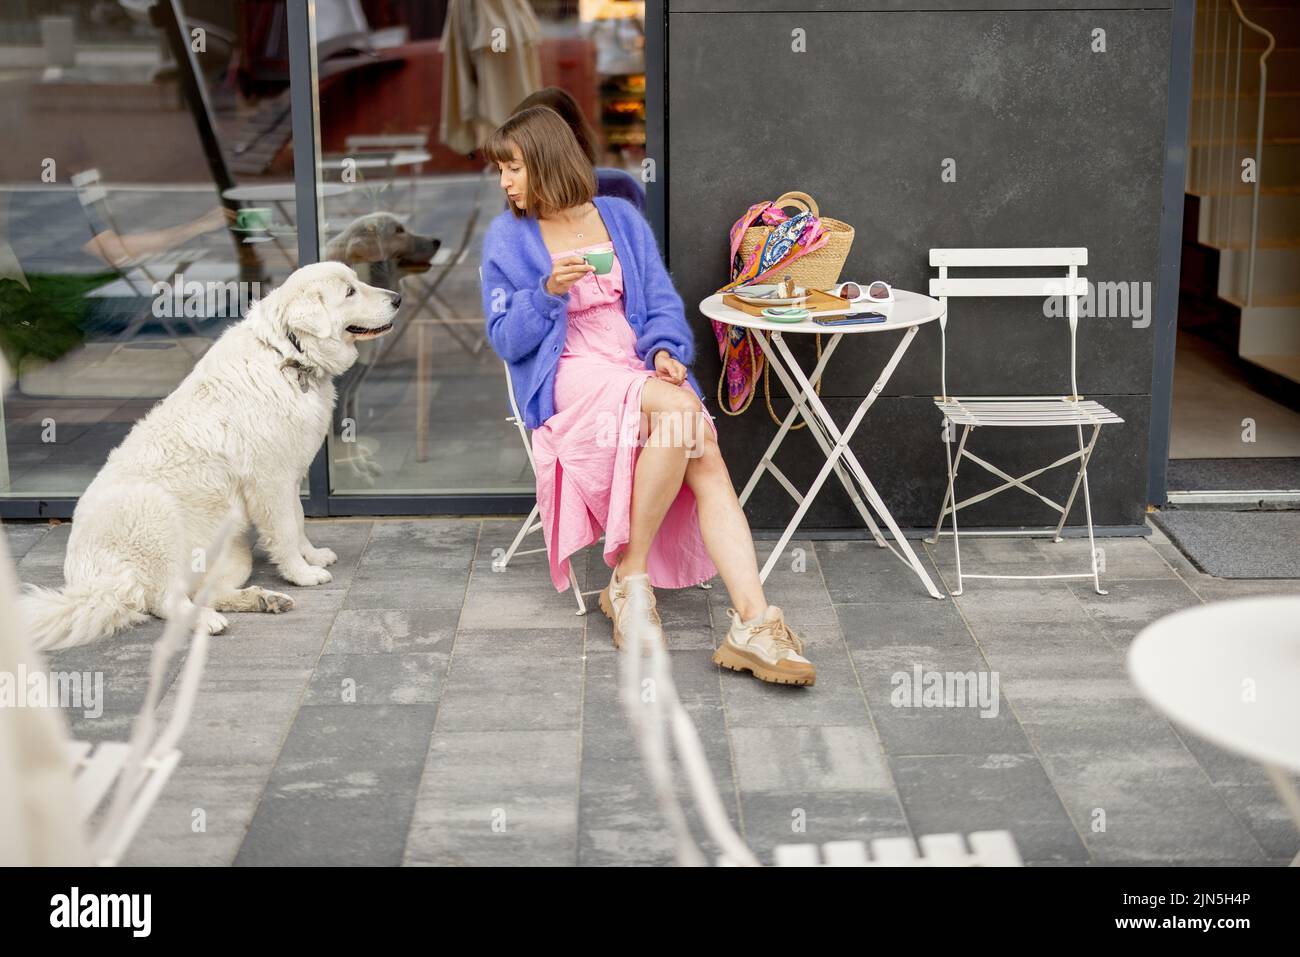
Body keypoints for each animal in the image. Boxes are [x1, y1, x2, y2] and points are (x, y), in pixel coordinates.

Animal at [19, 261, 395, 650]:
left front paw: (313, 556)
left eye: (357, 282)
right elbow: (285, 531)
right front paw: (302, 573)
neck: (287, 354)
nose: (397, 299)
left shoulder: (289, 477)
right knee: (164, 600)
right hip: (155, 517)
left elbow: (300, 520)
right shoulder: (270, 481)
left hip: (233, 555)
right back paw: (210, 620)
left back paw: (264, 599)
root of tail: (91, 586)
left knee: (202, 592)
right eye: (350, 292)